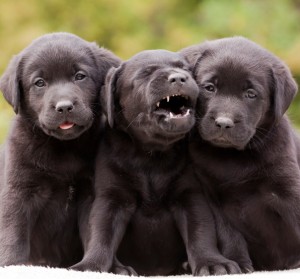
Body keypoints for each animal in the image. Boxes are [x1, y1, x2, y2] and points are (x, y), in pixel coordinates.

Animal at [0, 32, 120, 270]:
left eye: (80, 76)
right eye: (39, 83)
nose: (64, 107)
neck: (63, 148)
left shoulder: (91, 193)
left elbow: (95, 232)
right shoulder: (19, 189)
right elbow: (14, 232)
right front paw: (11, 264)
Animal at [71, 50, 243, 278]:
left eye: (185, 69)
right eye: (146, 74)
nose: (179, 78)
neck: (151, 156)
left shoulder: (190, 196)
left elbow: (200, 233)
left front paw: (212, 262)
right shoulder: (112, 198)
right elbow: (101, 234)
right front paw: (91, 265)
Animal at [179, 36, 300, 272]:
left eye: (251, 94)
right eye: (210, 88)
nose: (224, 123)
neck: (234, 157)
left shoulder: (289, 189)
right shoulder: (215, 199)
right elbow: (230, 236)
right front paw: (238, 263)